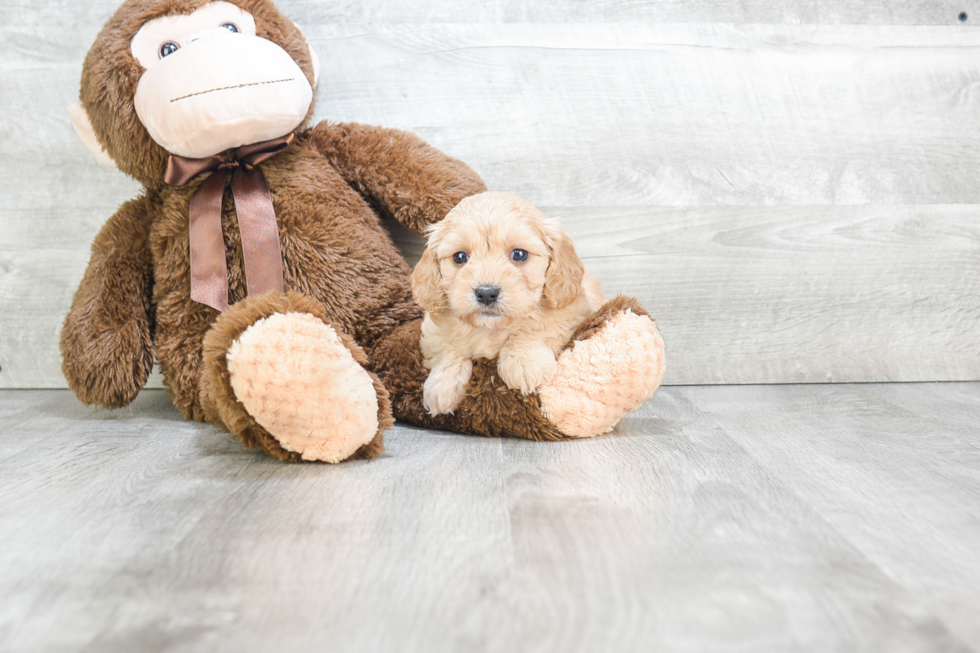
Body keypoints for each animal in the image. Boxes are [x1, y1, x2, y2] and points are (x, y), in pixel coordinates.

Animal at [410, 190, 600, 412]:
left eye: (519, 254)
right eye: (460, 257)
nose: (486, 293)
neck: (490, 328)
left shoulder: (572, 312)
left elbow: (535, 327)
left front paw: (524, 364)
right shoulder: (433, 331)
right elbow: (446, 348)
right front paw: (441, 386)